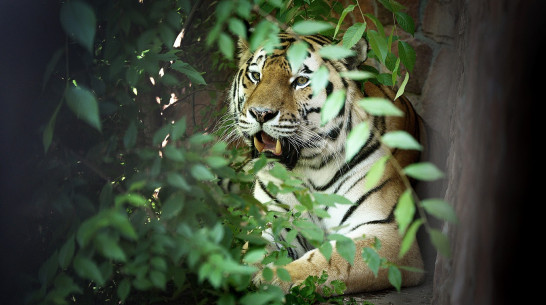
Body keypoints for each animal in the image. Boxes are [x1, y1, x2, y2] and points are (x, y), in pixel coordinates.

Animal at [223, 32, 422, 294]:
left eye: (300, 81)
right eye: (256, 76)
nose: (260, 113)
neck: (307, 167)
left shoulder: (388, 232)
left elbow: (332, 259)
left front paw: (274, 278)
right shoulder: (274, 221)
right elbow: (254, 251)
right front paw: (239, 270)